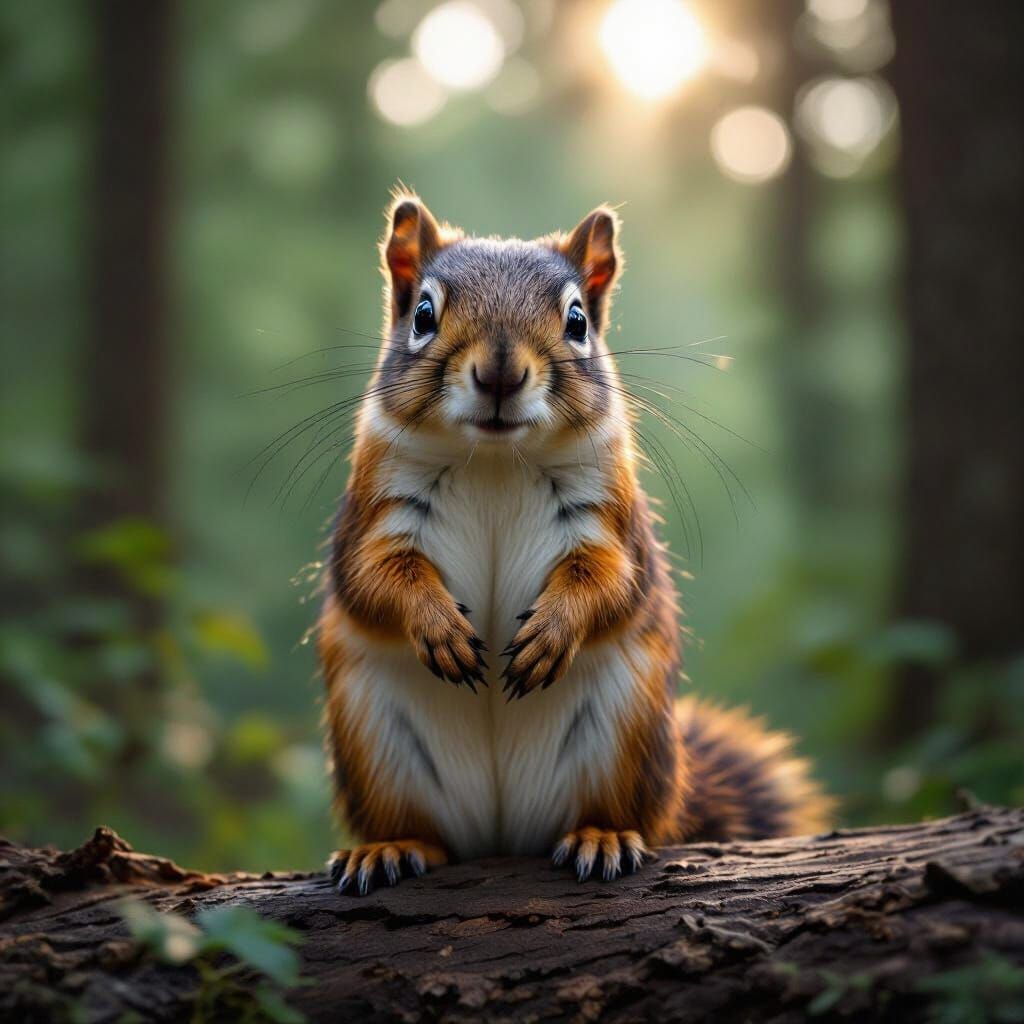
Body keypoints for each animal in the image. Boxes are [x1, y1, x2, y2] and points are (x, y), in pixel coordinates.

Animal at [319, 193, 833, 895]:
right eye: (422, 314)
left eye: (578, 320)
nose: (501, 374)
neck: (495, 460)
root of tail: (501, 835)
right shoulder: (372, 518)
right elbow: (375, 578)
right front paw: (438, 626)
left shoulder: (610, 523)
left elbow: (611, 582)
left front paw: (552, 633)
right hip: (376, 748)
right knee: (422, 830)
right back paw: (391, 846)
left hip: (623, 740)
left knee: (619, 814)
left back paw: (602, 836)